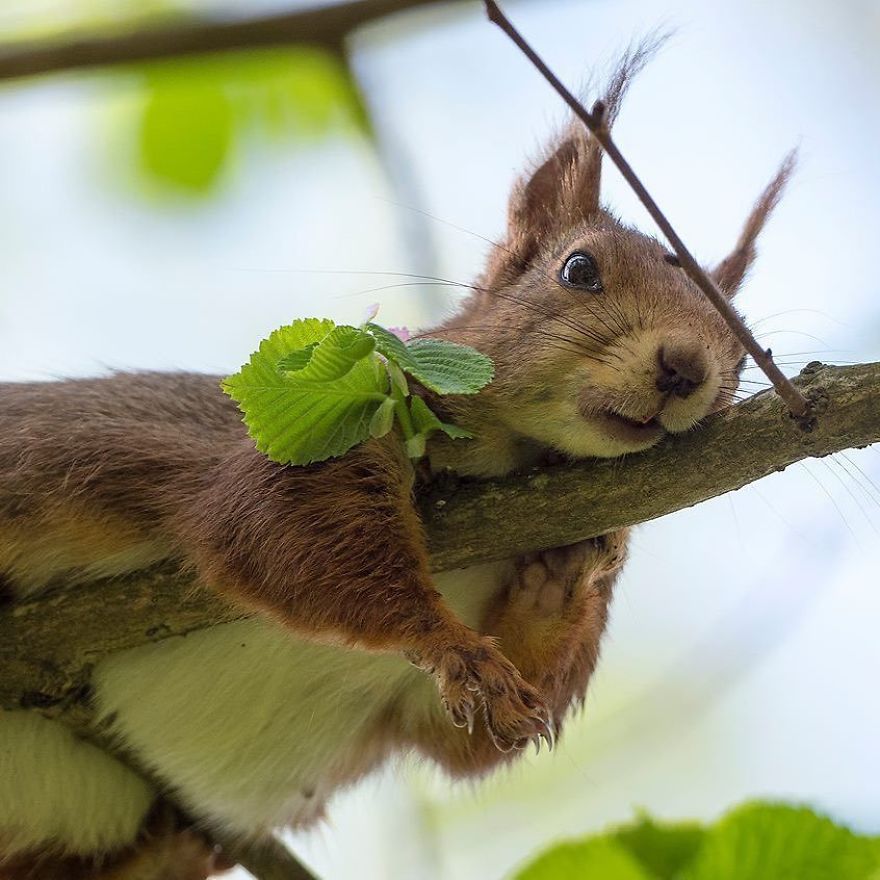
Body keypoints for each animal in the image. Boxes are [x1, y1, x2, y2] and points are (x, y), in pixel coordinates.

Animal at [0, 44, 792, 880]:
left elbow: (469, 742)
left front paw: (560, 578)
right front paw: (451, 643)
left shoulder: (415, 709)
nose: (685, 367)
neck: (510, 463)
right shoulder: (323, 431)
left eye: (744, 344)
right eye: (580, 270)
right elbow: (280, 530)